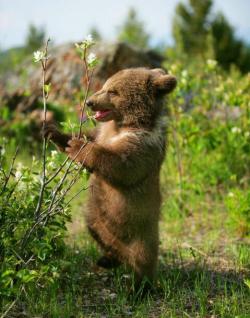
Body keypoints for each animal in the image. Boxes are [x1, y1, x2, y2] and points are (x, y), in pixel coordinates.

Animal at [45, 68, 178, 292]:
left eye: (113, 91)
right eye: (104, 86)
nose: (90, 102)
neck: (124, 124)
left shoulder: (144, 144)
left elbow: (122, 166)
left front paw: (78, 146)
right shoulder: (102, 133)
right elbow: (89, 135)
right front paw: (56, 133)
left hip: (142, 231)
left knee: (143, 261)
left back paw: (140, 289)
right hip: (98, 217)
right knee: (99, 233)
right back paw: (107, 259)